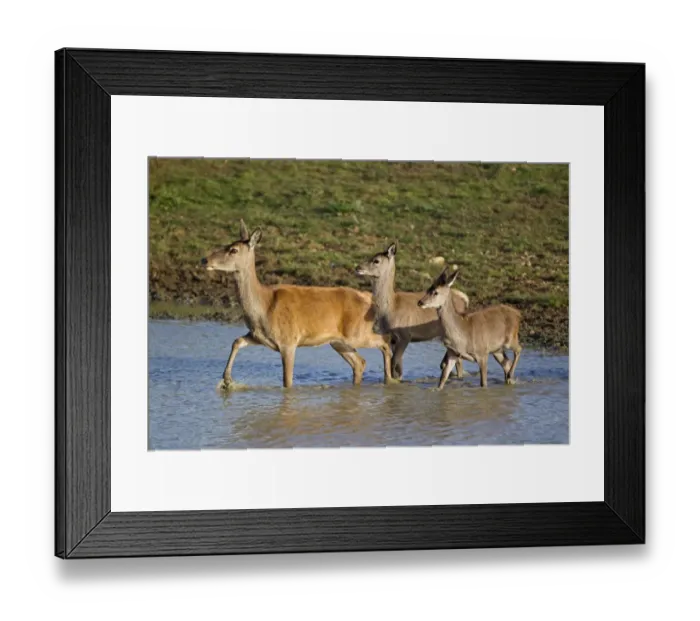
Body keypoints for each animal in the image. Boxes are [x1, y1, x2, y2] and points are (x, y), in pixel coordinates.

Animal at [201, 220, 394, 389]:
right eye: (227, 244)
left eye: (233, 250)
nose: (205, 260)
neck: (263, 307)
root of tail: (370, 299)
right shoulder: (258, 336)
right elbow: (237, 341)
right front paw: (227, 380)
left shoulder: (288, 341)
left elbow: (287, 381)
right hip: (338, 341)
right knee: (359, 363)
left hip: (357, 333)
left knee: (384, 342)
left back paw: (390, 379)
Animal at [355, 242, 472, 380]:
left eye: (376, 260)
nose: (358, 267)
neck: (391, 307)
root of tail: (465, 299)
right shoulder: (391, 338)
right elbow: (397, 367)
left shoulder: (405, 335)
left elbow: (394, 363)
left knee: (459, 362)